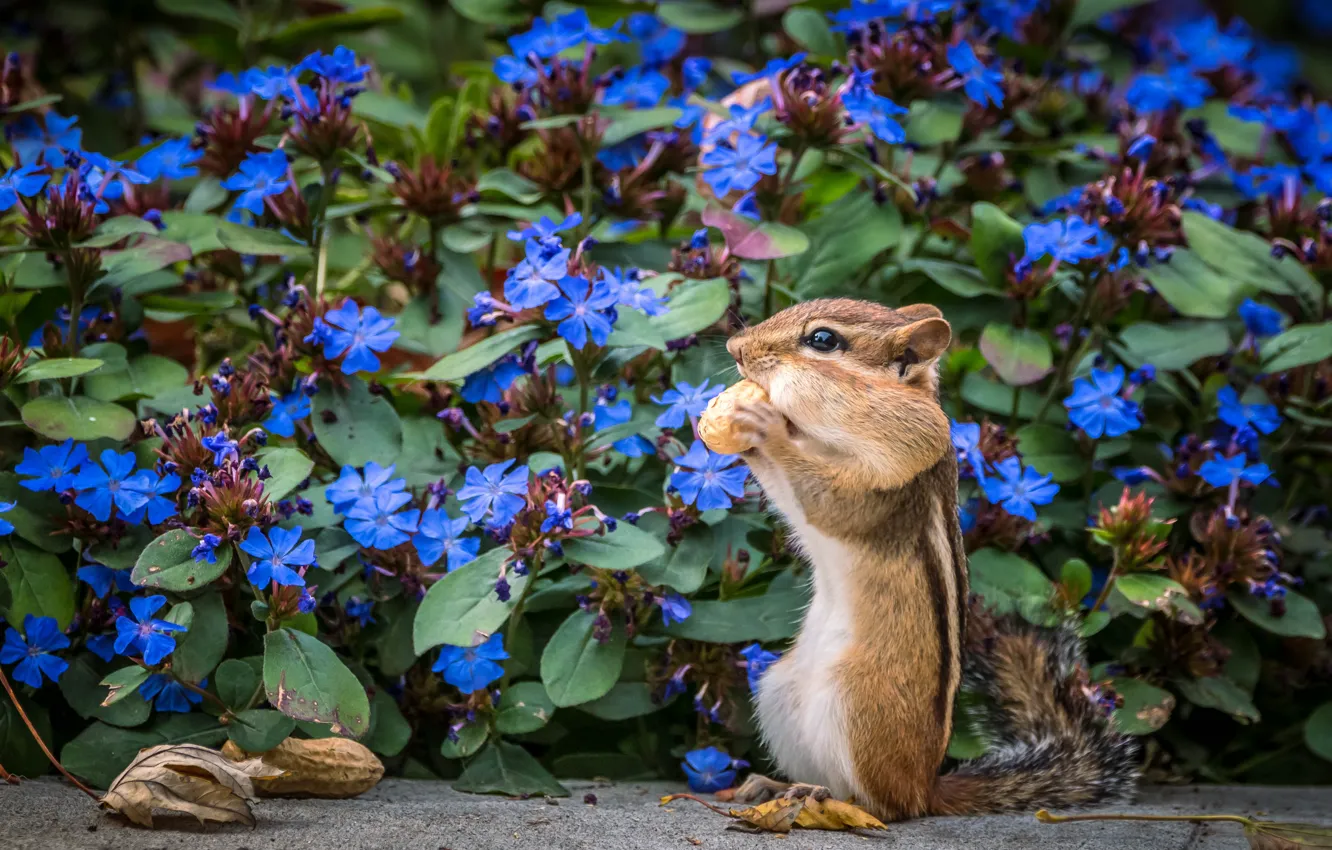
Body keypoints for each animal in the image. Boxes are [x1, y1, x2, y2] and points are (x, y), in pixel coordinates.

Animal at [720, 297, 1139, 821]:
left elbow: (825, 498)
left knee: (882, 805)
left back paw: (823, 798)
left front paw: (768, 431)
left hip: (857, 705)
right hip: (777, 691)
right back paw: (774, 786)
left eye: (822, 340)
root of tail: (928, 785)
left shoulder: (891, 472)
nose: (735, 347)